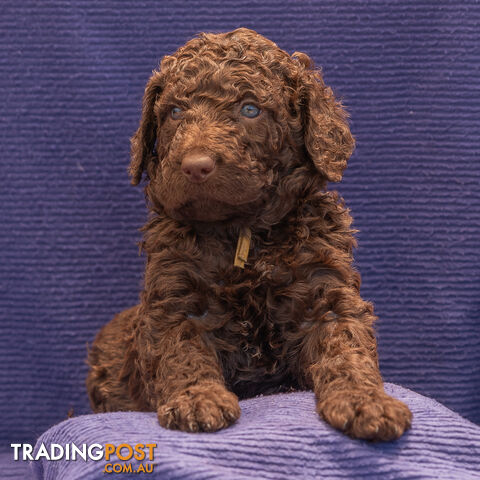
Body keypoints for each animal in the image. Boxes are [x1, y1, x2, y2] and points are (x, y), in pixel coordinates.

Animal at [86, 25, 412, 438]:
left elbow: (345, 347)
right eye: (174, 112)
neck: (243, 234)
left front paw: (365, 401)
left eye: (250, 110)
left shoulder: (325, 293)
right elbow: (182, 349)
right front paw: (197, 398)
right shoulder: (175, 297)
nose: (195, 165)